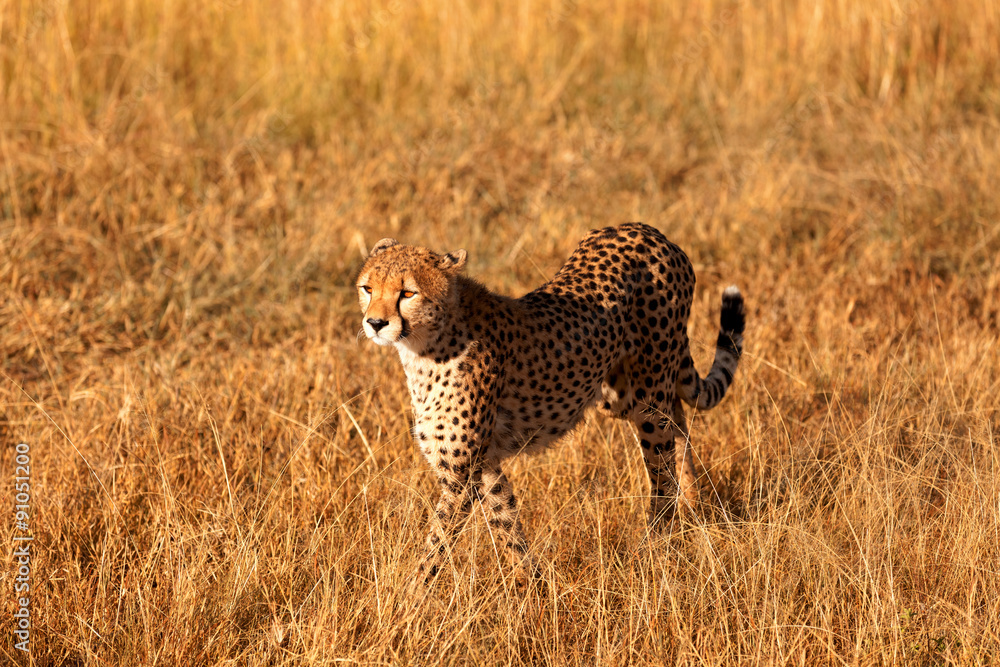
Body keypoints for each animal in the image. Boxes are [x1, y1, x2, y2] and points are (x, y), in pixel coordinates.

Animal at [356, 222, 745, 586]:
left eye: (408, 293)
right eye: (368, 289)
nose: (375, 323)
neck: (427, 344)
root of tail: (646, 230)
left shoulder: (461, 474)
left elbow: (435, 546)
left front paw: (407, 600)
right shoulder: (485, 463)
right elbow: (506, 521)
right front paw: (529, 585)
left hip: (647, 394)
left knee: (662, 471)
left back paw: (656, 545)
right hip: (622, 394)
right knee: (678, 426)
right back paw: (693, 510)